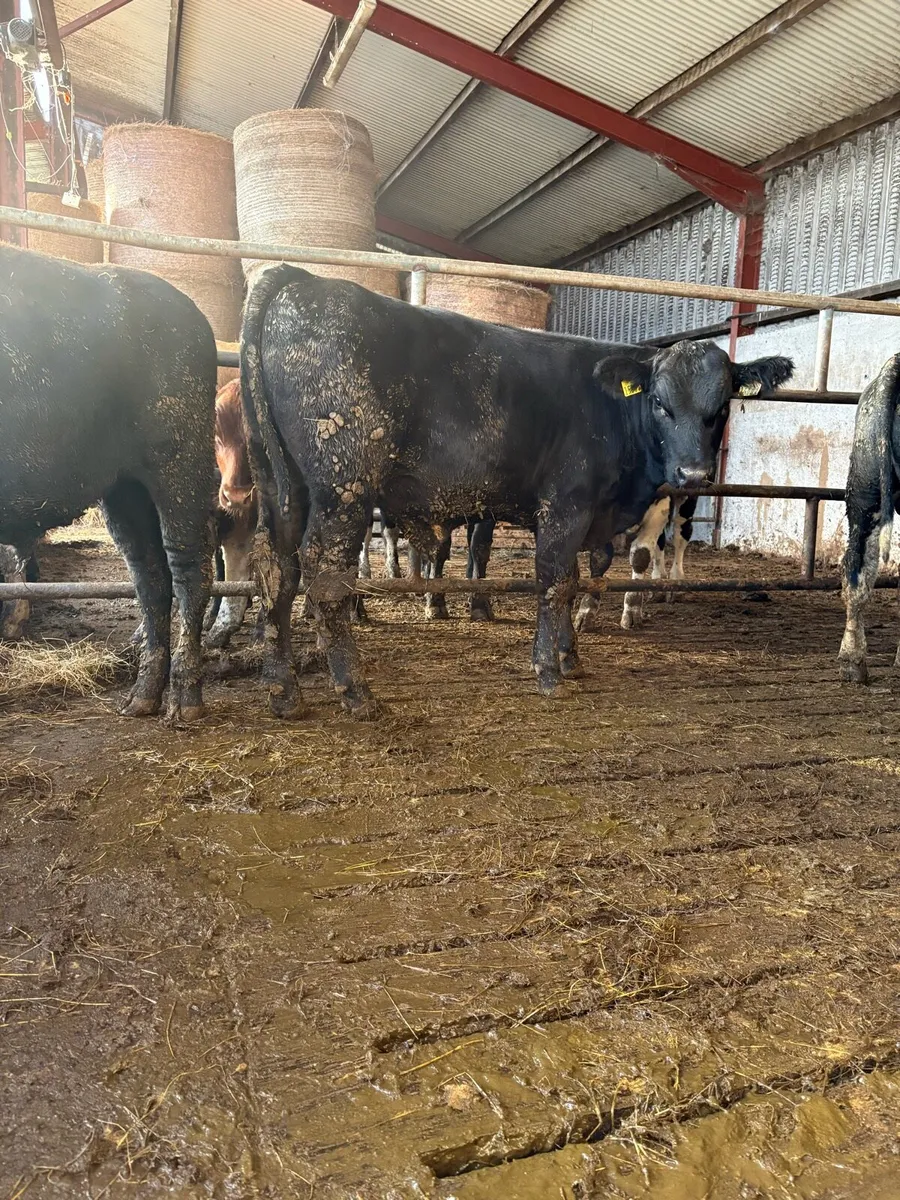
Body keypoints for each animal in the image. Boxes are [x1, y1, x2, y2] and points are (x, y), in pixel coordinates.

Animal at [0, 243, 216, 719]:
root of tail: (192, 314)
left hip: (181, 468)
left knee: (189, 567)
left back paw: (185, 702)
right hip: (123, 490)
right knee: (149, 575)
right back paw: (141, 697)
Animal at [239, 264, 792, 719]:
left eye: (722, 405)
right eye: (659, 402)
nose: (693, 475)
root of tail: (304, 279)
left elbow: (571, 579)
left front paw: (570, 656)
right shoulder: (566, 504)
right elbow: (555, 582)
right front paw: (549, 669)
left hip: (282, 484)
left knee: (277, 569)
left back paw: (283, 691)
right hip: (343, 486)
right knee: (324, 573)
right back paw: (355, 692)